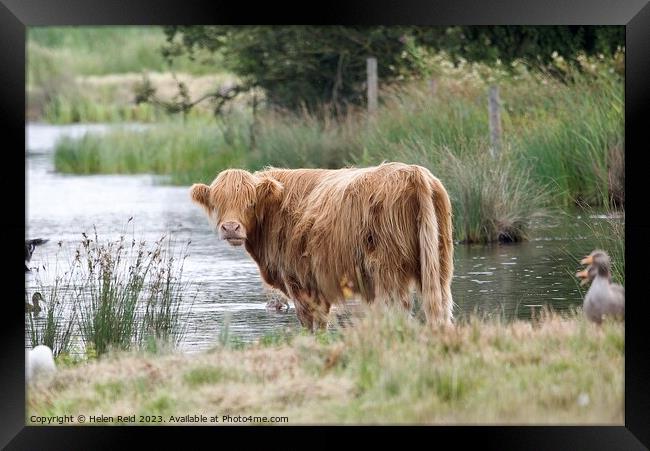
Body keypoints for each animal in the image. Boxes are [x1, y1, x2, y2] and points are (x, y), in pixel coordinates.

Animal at [190, 163, 454, 332]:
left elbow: (310, 322)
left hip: (386, 270)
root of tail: (413, 172)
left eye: (250, 203)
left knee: (397, 309)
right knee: (441, 306)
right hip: (439, 263)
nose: (231, 227)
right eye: (217, 203)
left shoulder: (297, 278)